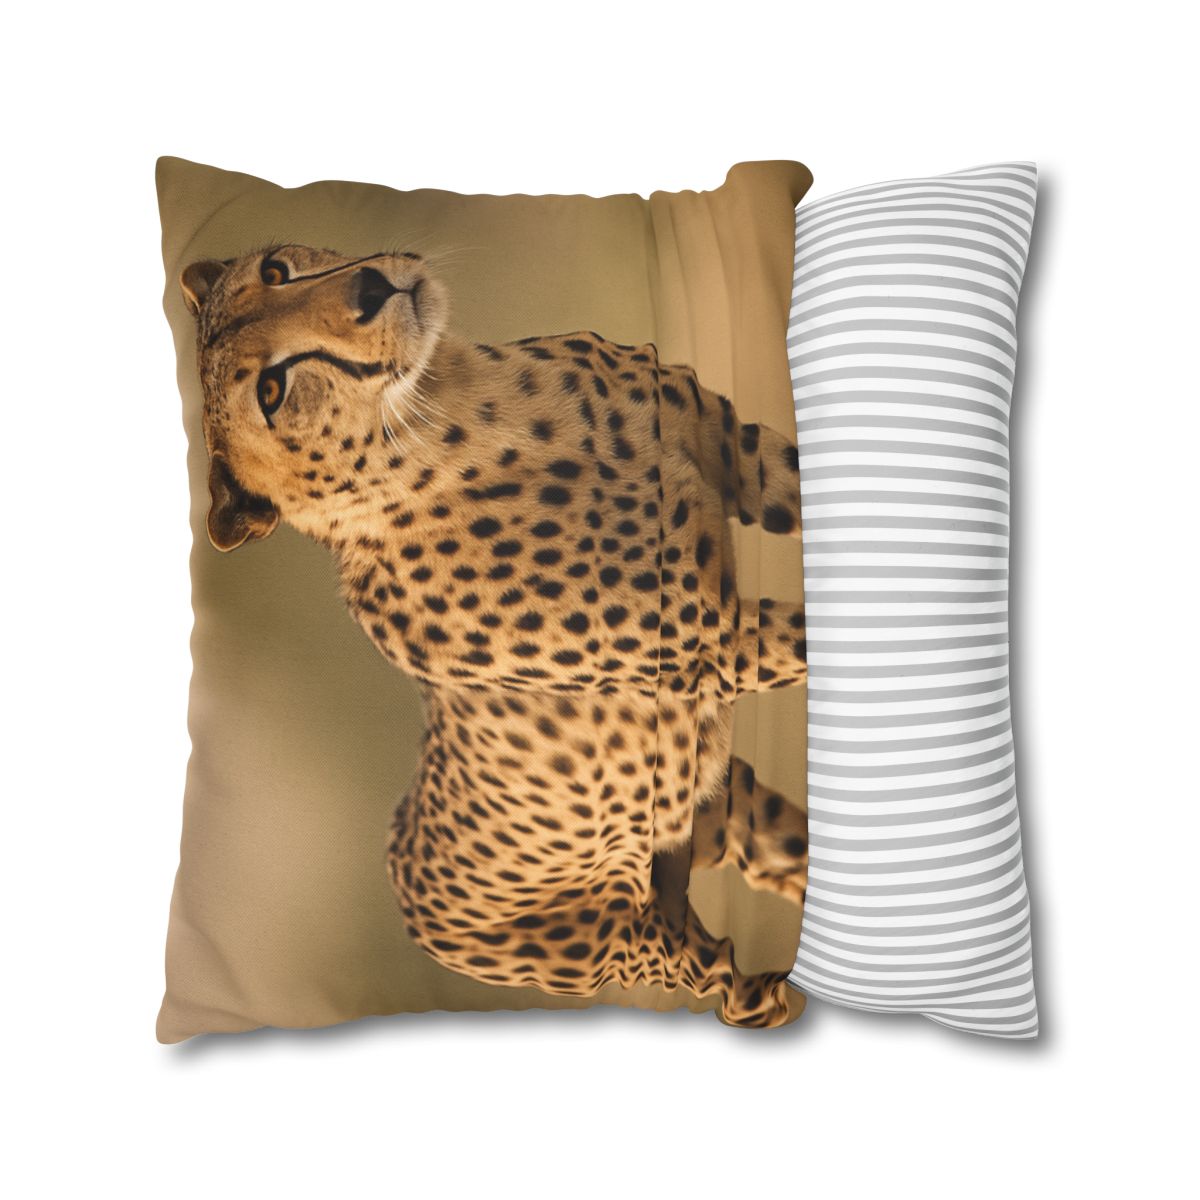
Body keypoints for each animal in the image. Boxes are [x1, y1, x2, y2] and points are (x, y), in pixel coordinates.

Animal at [181, 244, 809, 1027]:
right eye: (271, 391)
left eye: (275, 269)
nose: (372, 288)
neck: (453, 403)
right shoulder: (713, 645)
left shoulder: (735, 451)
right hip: (642, 936)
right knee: (726, 983)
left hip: (716, 806)